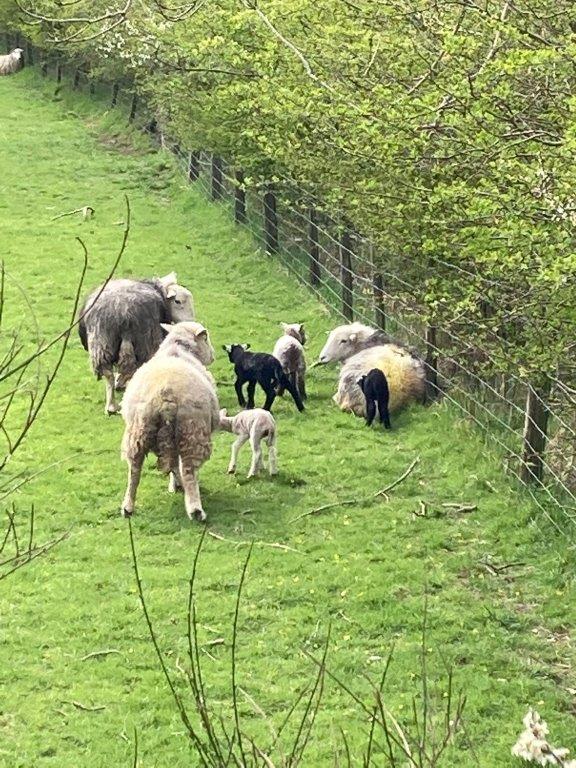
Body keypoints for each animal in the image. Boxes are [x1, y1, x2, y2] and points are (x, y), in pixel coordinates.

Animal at [78, 272, 194, 414]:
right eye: (178, 301)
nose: (191, 323)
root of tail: (120, 311)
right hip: (142, 343)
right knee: (131, 369)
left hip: (100, 342)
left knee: (108, 373)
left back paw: (111, 406)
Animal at [120, 321, 219, 522]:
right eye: (206, 338)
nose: (213, 356)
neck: (178, 349)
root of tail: (165, 394)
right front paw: (179, 486)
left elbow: (173, 465)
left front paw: (175, 485)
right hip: (192, 430)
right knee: (188, 469)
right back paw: (196, 509)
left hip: (138, 431)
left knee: (134, 470)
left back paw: (127, 507)